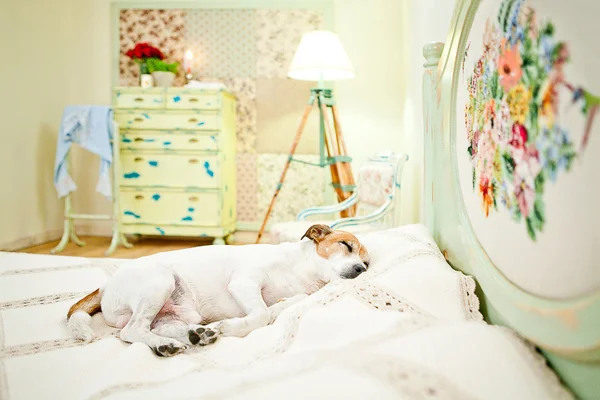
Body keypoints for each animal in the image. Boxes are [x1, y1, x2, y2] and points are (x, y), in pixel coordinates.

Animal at [67, 223, 370, 358]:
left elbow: (279, 306)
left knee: (158, 328)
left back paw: (196, 335)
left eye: (367, 263)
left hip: (177, 314)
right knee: (131, 331)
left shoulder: (297, 294)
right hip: (160, 283)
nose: (361, 269)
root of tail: (105, 286)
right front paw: (234, 326)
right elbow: (261, 314)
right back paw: (173, 343)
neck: (301, 272)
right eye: (346, 245)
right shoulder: (244, 283)